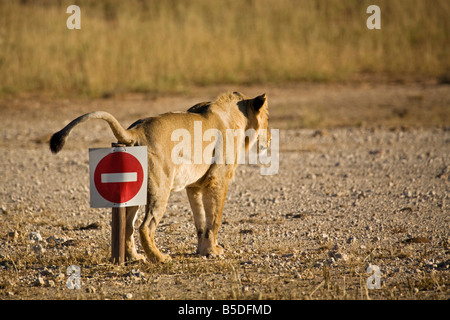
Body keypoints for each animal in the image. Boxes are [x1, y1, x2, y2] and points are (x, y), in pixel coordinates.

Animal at [50, 92, 268, 262]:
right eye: (267, 118)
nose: (271, 136)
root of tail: (135, 131)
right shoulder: (217, 180)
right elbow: (214, 219)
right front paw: (213, 251)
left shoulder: (194, 186)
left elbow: (200, 220)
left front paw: (203, 250)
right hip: (160, 187)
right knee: (145, 227)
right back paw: (159, 257)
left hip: (134, 189)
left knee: (127, 225)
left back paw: (135, 257)